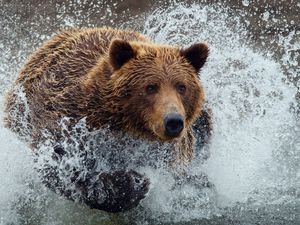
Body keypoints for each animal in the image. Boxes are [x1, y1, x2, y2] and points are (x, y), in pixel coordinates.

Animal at [4, 27, 211, 213]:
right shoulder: (71, 120)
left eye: (181, 86)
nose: (173, 121)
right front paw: (134, 182)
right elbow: (61, 164)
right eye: (151, 87)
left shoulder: (169, 152)